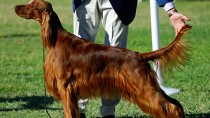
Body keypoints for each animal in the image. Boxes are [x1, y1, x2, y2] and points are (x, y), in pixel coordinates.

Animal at [14, 0, 192, 117]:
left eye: (31, 5)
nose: (15, 6)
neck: (56, 39)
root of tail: (140, 55)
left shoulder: (65, 86)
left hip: (143, 87)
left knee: (171, 107)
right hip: (149, 85)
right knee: (176, 104)